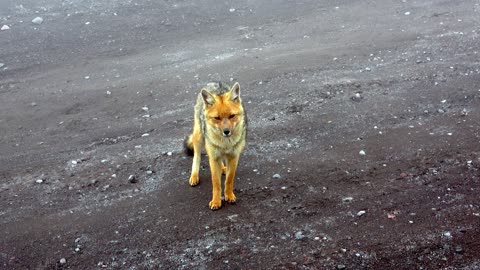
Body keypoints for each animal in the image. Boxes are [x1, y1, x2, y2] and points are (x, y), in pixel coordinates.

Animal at [184, 82, 248, 211]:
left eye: (232, 116)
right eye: (217, 118)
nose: (226, 131)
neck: (225, 143)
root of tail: (214, 83)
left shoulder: (234, 156)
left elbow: (229, 180)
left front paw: (229, 195)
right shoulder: (213, 158)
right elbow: (216, 183)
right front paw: (216, 201)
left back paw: (223, 168)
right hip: (199, 138)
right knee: (196, 156)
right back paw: (194, 176)